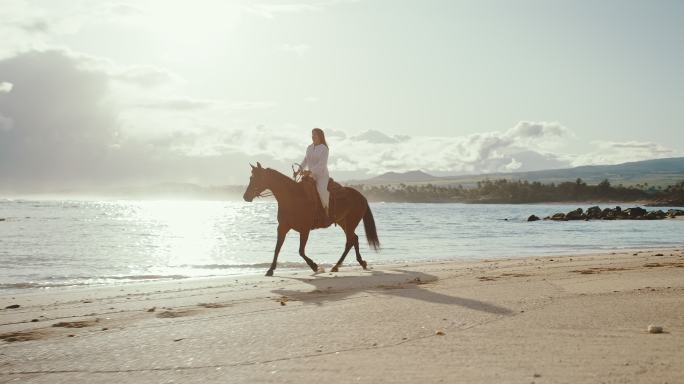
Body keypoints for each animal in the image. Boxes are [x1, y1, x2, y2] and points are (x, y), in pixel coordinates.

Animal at [240, 162, 380, 276]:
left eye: (255, 178)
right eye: (251, 177)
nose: (246, 196)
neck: (293, 197)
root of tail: (362, 197)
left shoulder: (304, 229)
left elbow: (301, 251)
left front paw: (315, 266)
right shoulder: (282, 227)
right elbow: (277, 248)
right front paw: (270, 269)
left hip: (350, 222)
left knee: (350, 241)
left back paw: (338, 265)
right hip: (343, 222)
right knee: (354, 239)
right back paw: (357, 263)